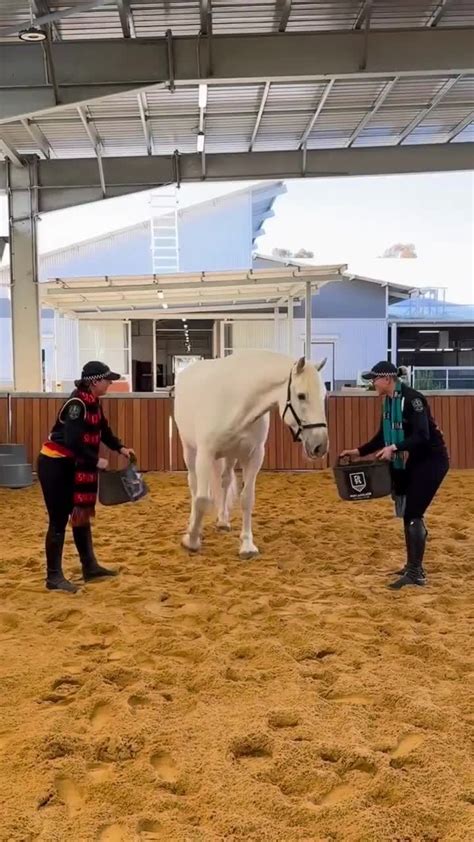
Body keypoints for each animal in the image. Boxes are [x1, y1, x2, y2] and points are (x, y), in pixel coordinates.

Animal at [174, 350, 328, 559]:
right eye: (301, 395)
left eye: (324, 395)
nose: (320, 446)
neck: (236, 402)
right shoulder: (205, 454)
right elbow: (202, 499)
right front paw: (191, 541)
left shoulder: (254, 457)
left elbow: (247, 499)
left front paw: (247, 546)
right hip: (189, 450)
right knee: (194, 484)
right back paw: (192, 525)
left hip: (230, 455)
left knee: (224, 481)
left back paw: (223, 521)